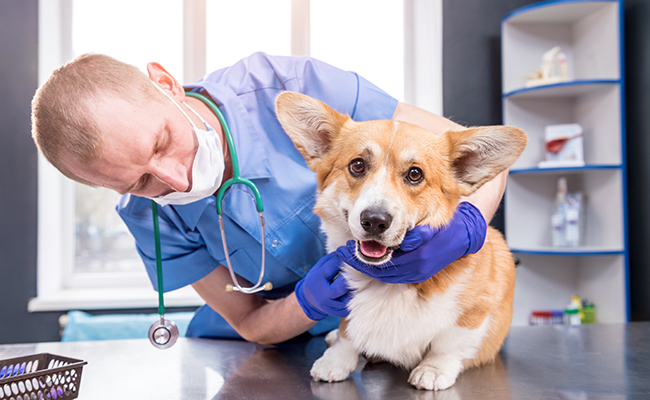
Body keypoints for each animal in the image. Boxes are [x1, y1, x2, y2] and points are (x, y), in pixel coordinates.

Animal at [274, 91, 528, 390]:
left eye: (415, 174)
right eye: (357, 165)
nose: (374, 220)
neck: (388, 277)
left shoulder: (475, 312)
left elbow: (449, 344)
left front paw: (433, 369)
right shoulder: (343, 293)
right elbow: (348, 331)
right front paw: (336, 360)